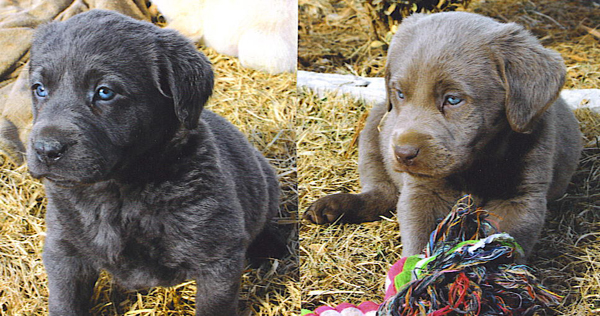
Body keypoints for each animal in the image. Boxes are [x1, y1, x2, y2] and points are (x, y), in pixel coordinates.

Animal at [27, 8, 280, 314]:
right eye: (39, 89)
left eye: (104, 92)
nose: (46, 149)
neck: (118, 195)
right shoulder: (64, 250)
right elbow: (65, 301)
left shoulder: (218, 256)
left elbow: (214, 305)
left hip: (267, 182)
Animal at [304, 12, 580, 260]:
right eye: (400, 94)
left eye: (453, 99)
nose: (403, 154)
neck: (477, 164)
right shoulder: (422, 192)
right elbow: (420, 242)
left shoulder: (521, 198)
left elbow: (508, 246)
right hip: (373, 130)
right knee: (382, 191)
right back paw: (333, 207)